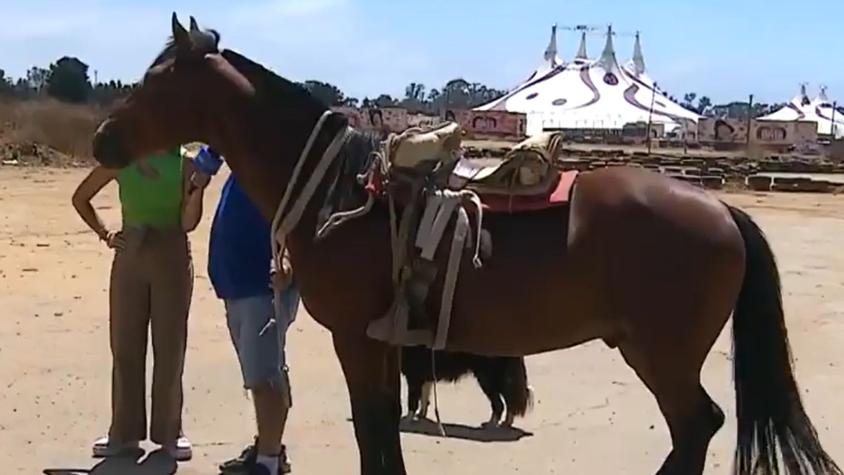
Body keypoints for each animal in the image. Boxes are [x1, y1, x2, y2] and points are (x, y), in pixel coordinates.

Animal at [400, 346, 533, 427]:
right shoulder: (424, 376)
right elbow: (424, 398)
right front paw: (421, 414)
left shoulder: (413, 375)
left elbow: (412, 400)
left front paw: (407, 419)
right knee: (509, 399)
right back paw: (506, 422)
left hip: (488, 378)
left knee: (500, 403)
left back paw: (492, 423)